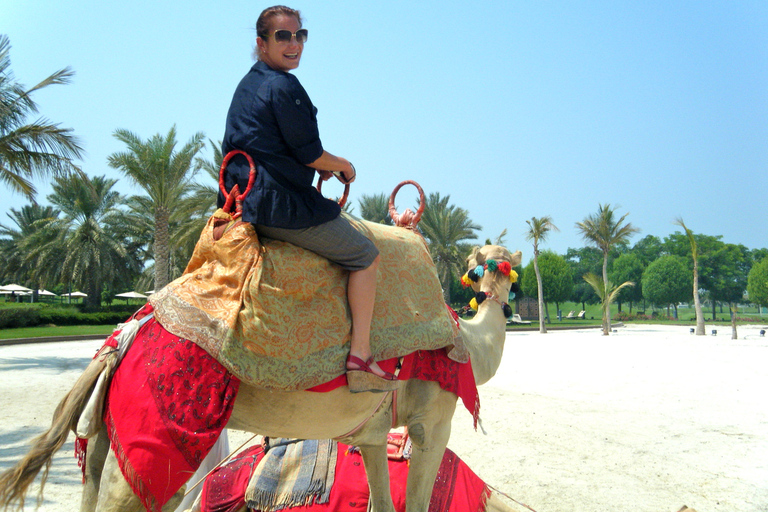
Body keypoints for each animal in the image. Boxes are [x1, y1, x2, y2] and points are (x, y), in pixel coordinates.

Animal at [0, 244, 520, 512]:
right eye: (495, 263)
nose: (497, 280)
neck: (469, 342)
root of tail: (123, 339)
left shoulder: (372, 435)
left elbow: (380, 498)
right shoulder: (433, 421)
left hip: (108, 435)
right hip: (155, 431)